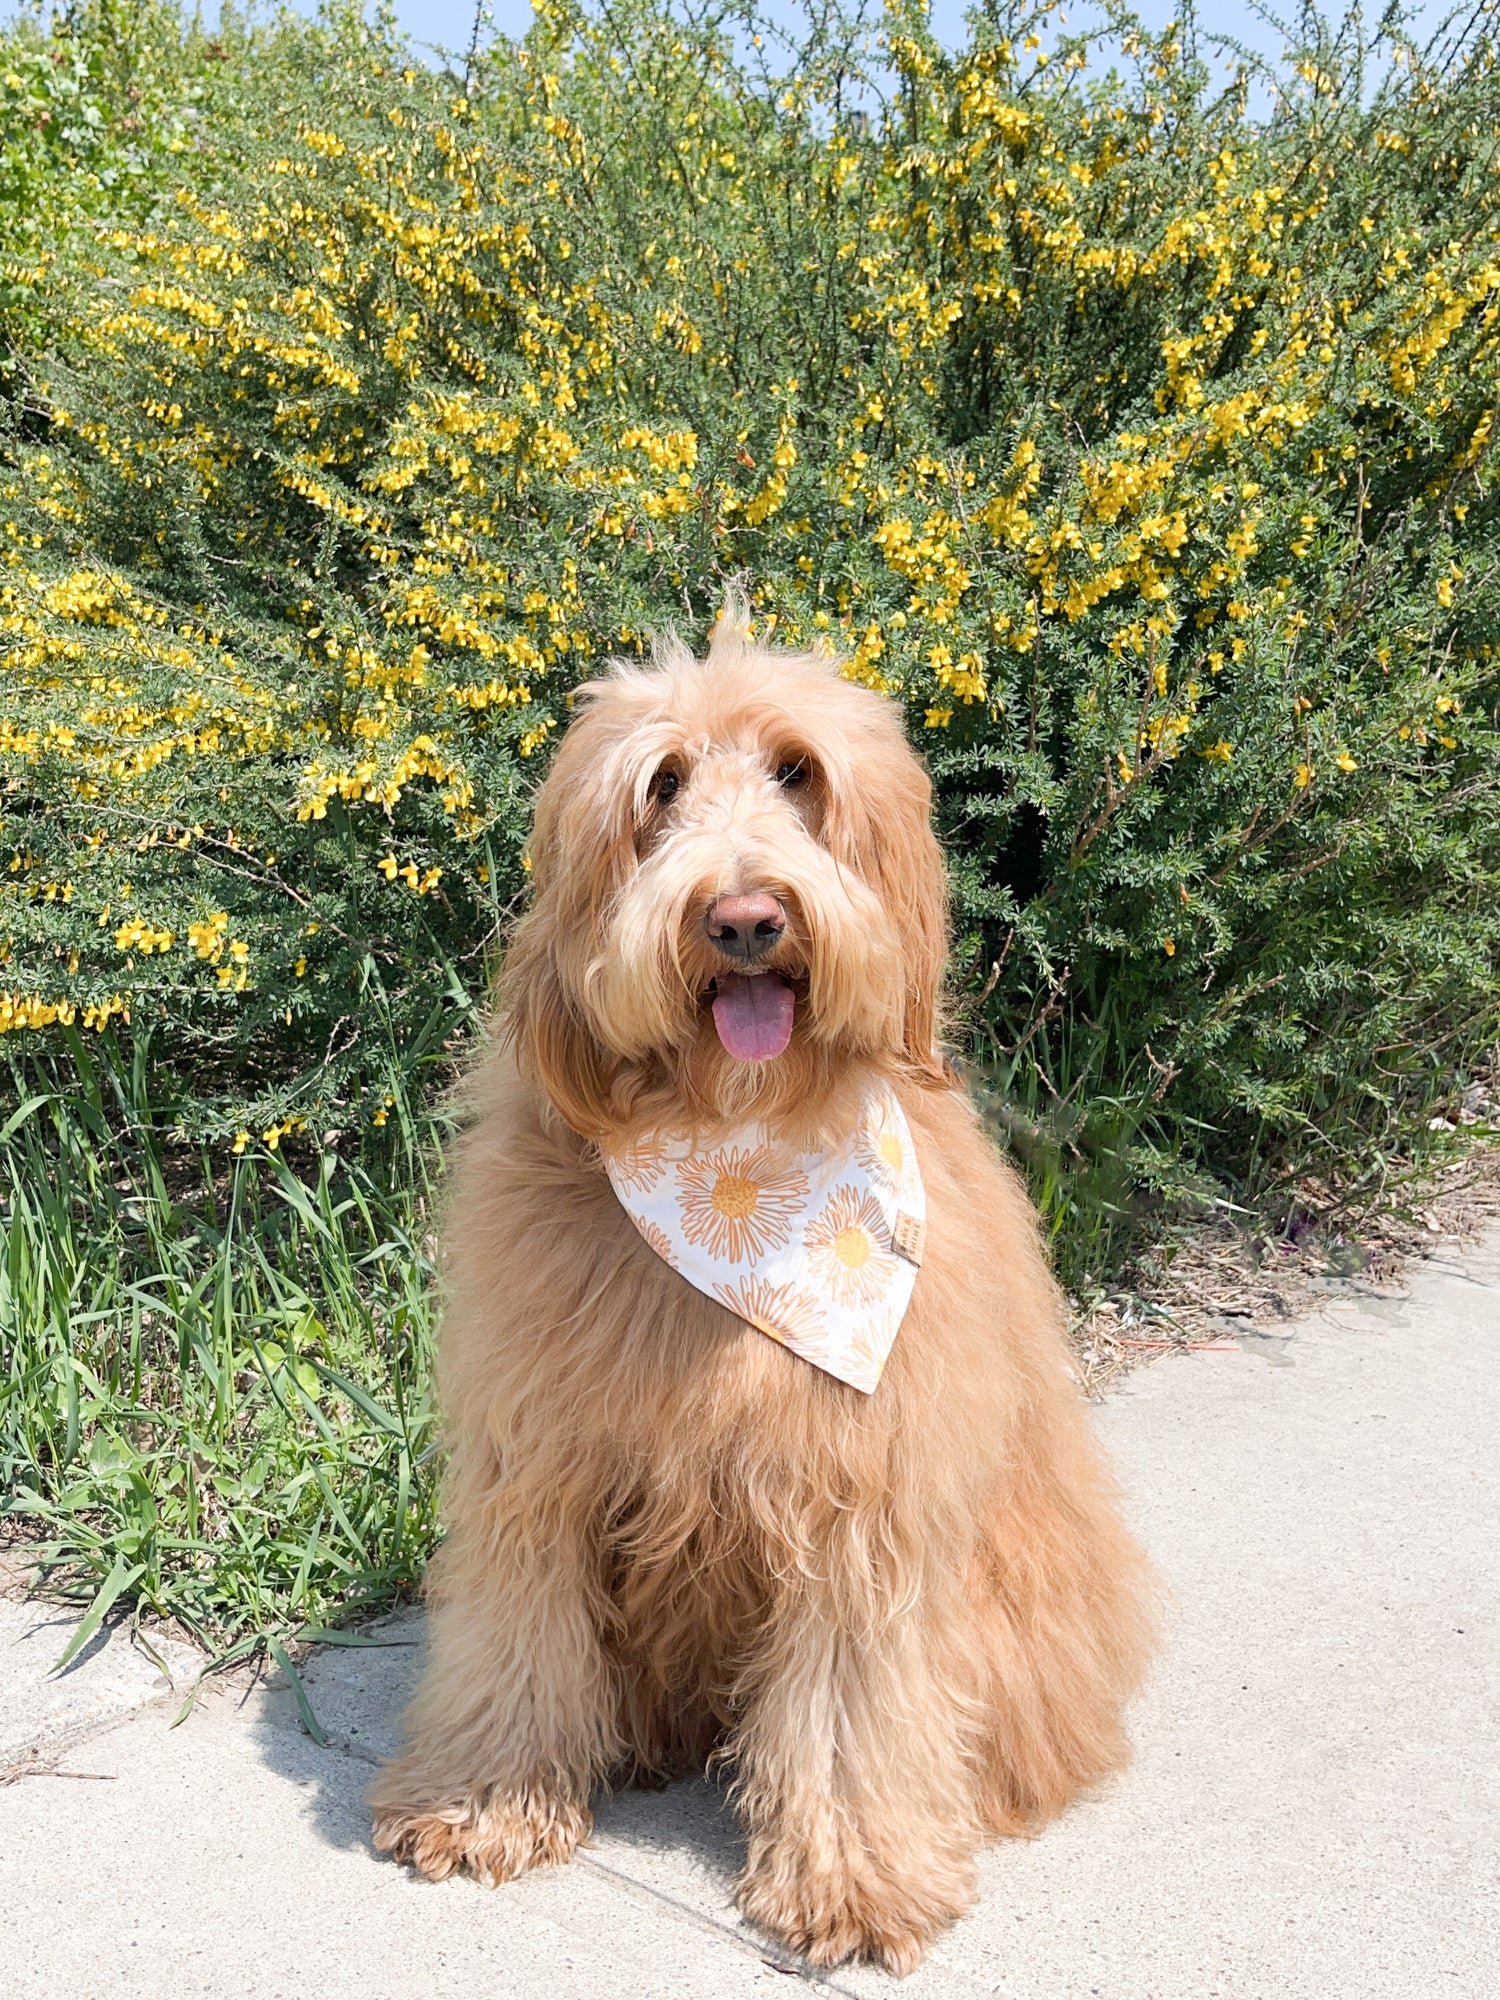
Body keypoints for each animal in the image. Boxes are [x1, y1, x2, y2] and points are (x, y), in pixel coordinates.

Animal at [370, 604, 1160, 1968]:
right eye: (661, 787)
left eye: (800, 773)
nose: (743, 917)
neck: (737, 1154)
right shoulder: (536, 1465)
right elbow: (515, 1633)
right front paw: (486, 1800)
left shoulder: (861, 1492)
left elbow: (849, 1700)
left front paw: (852, 1880)